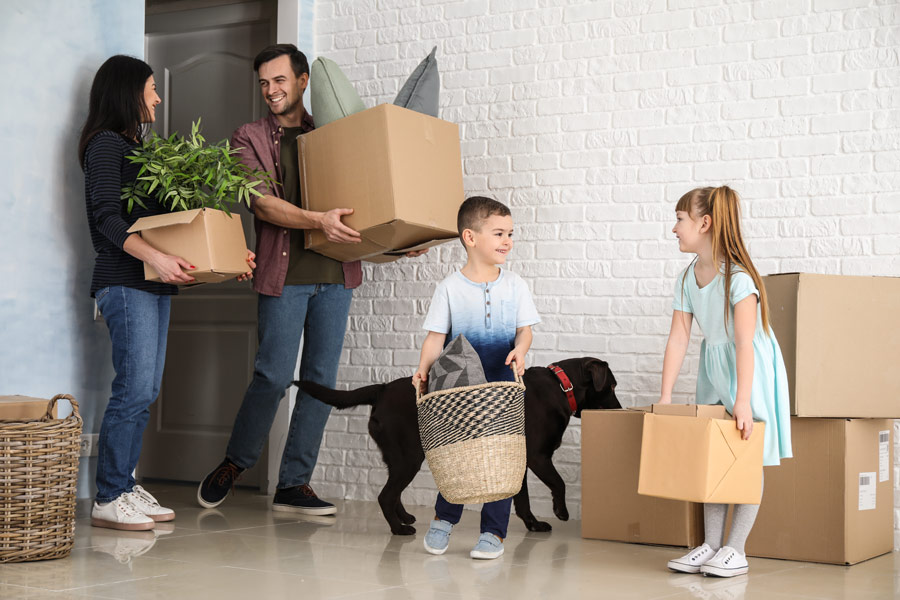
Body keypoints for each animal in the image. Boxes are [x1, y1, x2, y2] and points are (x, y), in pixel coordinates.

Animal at [296, 356, 620, 536]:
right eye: (613, 386)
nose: (620, 409)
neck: (562, 386)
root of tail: (383, 389)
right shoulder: (539, 457)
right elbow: (559, 482)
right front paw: (560, 511)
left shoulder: (518, 458)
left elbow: (523, 499)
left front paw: (533, 524)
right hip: (409, 456)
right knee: (386, 495)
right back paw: (399, 529)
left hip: (399, 457)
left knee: (393, 492)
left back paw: (404, 518)